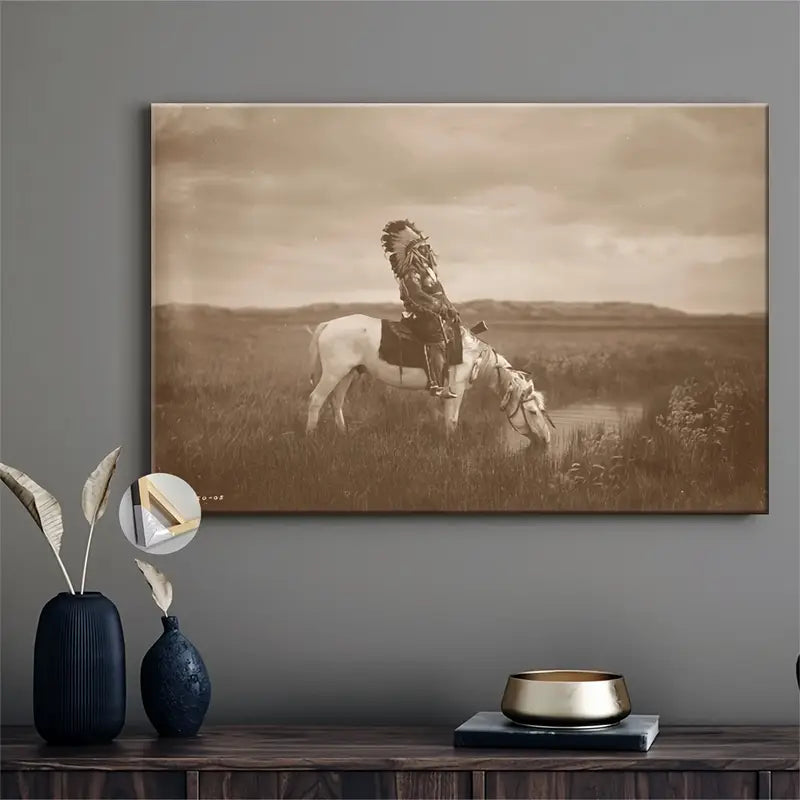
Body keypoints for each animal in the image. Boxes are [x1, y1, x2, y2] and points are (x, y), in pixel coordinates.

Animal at [305, 314, 555, 445]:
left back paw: (343, 434)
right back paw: (310, 436)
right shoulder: (456, 389)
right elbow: (452, 420)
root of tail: (329, 324)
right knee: (316, 400)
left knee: (336, 402)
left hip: (347, 373)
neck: (473, 356)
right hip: (333, 373)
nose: (546, 440)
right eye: (533, 412)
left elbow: (446, 419)